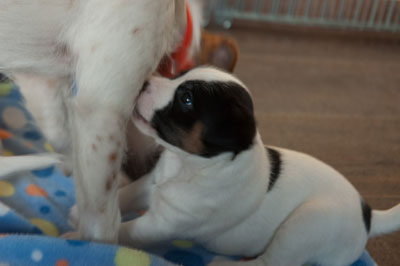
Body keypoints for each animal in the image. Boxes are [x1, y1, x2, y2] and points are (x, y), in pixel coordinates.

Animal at [118, 67, 400, 266]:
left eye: (186, 99)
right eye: (177, 75)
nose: (142, 82)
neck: (189, 166)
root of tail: (369, 217)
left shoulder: (162, 223)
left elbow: (129, 231)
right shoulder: (148, 184)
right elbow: (125, 195)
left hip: (304, 227)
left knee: (271, 263)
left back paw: (223, 264)